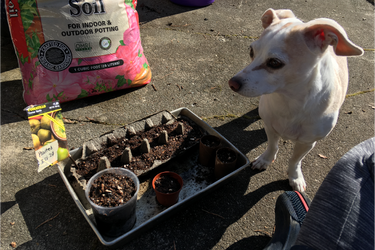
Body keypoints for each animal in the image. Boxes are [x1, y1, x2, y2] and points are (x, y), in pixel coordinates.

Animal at [229, 8, 364, 191]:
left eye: (274, 62)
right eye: (251, 52)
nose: (232, 83)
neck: (289, 100)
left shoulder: (307, 143)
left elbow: (295, 160)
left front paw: (295, 177)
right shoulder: (270, 127)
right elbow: (272, 146)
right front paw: (265, 160)